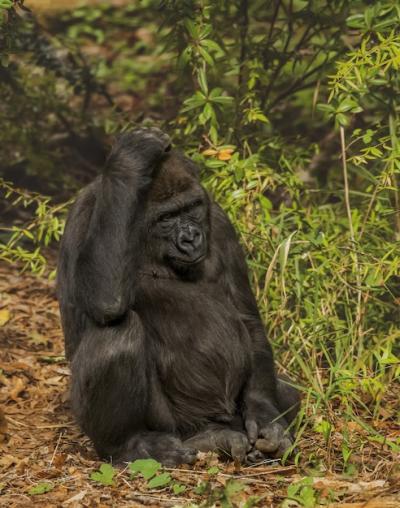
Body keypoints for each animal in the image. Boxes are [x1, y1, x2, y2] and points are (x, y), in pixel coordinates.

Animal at [57, 126, 300, 464]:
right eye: (167, 217)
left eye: (192, 208)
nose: (191, 238)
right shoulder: (85, 211)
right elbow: (104, 301)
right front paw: (130, 162)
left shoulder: (218, 220)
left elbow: (248, 320)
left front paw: (266, 418)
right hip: (171, 423)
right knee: (118, 335)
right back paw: (131, 444)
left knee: (287, 392)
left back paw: (216, 438)